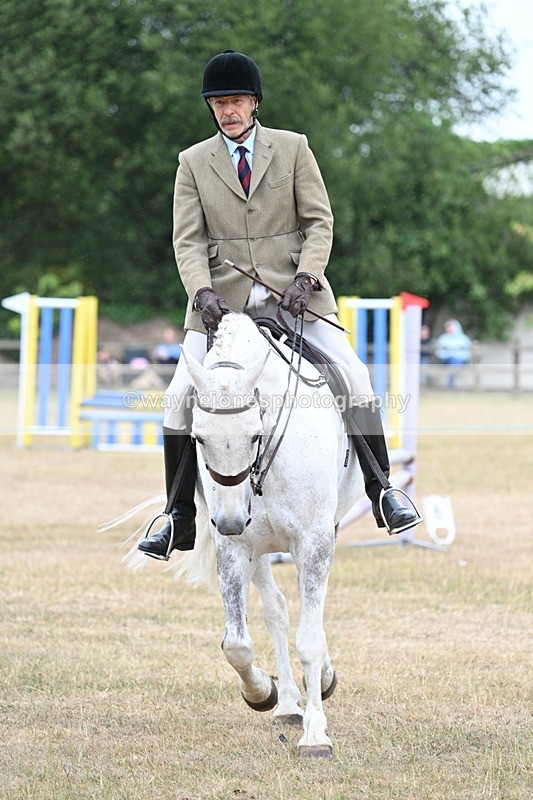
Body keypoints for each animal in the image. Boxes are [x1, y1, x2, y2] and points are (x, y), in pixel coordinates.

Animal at [162, 311, 365, 758]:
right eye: (197, 437)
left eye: (255, 433)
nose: (232, 521)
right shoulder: (235, 550)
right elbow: (236, 644)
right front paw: (261, 693)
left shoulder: (314, 542)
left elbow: (311, 638)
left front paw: (315, 735)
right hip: (257, 551)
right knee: (276, 610)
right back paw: (288, 703)